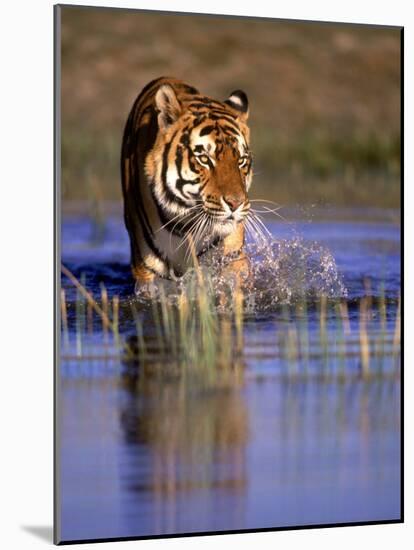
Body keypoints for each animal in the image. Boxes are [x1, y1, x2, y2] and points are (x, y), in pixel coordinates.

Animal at [120, 77, 252, 286]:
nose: (235, 203)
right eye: (204, 158)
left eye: (241, 160)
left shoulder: (231, 258)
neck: (186, 226)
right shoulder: (148, 269)